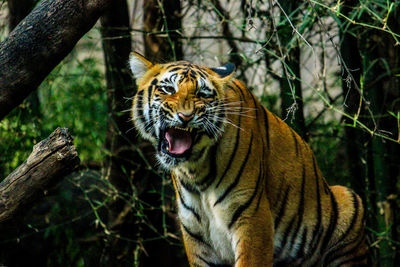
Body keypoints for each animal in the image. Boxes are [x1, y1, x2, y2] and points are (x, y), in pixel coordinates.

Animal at [130, 51, 368, 266]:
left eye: (203, 94)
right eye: (168, 89)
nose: (185, 116)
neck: (195, 170)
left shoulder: (252, 217)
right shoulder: (195, 232)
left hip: (349, 199)